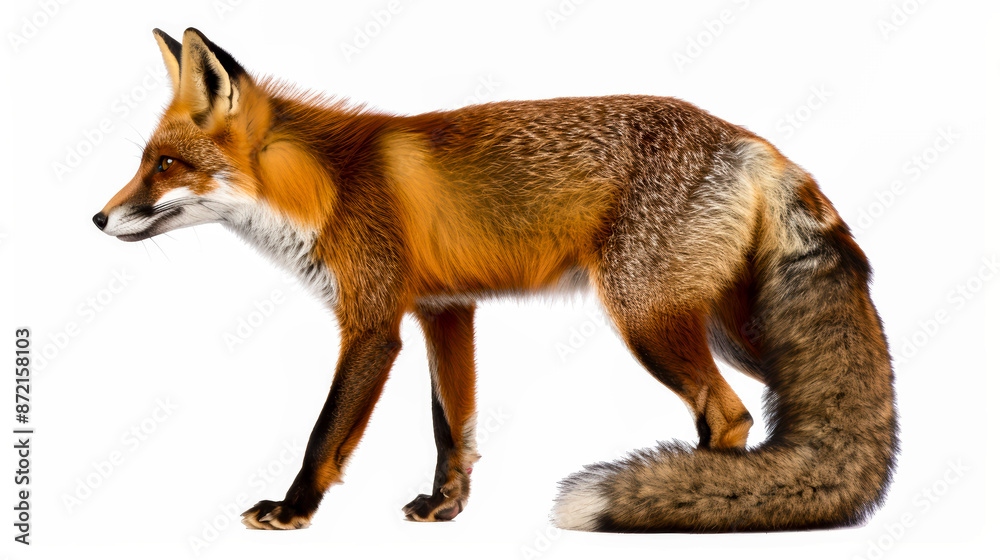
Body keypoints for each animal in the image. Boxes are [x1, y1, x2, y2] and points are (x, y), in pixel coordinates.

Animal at [94, 28, 897, 532]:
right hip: (732, 329)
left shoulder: (373, 325)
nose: (97, 220)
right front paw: (444, 510)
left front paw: (293, 512)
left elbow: (325, 434)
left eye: (166, 166)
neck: (326, 186)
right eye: (144, 161)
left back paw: (702, 501)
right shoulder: (446, 312)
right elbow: (454, 427)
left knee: (728, 416)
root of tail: (753, 142)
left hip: (648, 320)